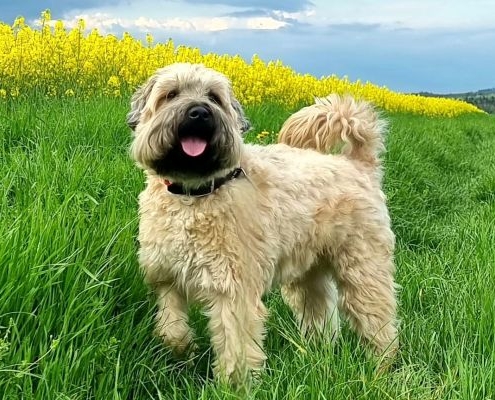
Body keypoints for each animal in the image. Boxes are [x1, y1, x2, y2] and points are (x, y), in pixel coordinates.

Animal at [128, 62, 400, 384]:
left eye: (213, 97)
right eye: (171, 94)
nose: (199, 112)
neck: (194, 193)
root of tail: (358, 164)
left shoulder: (233, 291)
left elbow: (235, 346)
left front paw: (232, 386)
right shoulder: (167, 277)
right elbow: (171, 326)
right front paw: (183, 349)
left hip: (363, 269)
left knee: (377, 321)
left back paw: (380, 368)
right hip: (309, 273)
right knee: (321, 313)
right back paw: (316, 354)